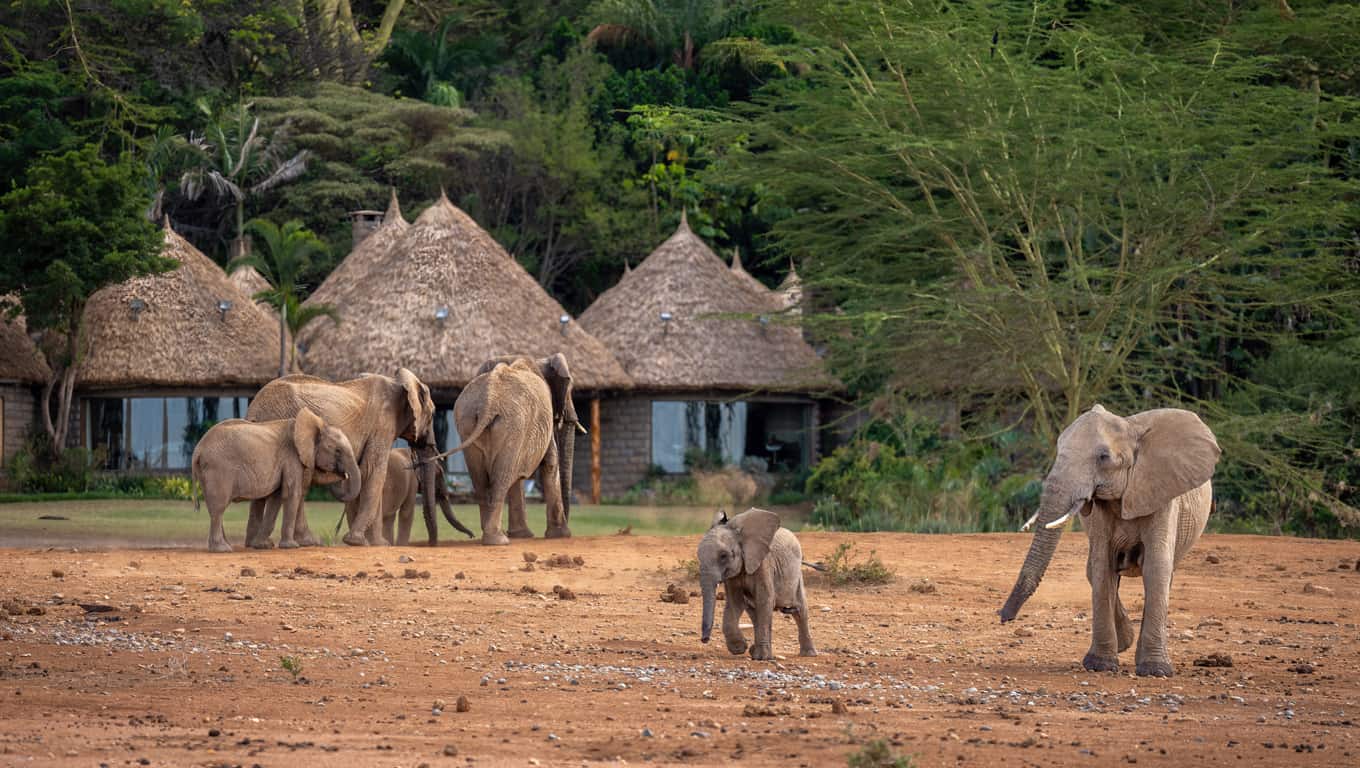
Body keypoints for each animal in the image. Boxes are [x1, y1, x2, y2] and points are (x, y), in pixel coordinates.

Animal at [194, 407, 361, 551]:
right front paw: (291, 547)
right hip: (218, 469)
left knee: (215, 508)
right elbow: (292, 494)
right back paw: (222, 549)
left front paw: (263, 546)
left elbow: (276, 498)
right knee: (219, 507)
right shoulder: (292, 457)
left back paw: (224, 545)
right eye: (338, 451)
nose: (342, 474)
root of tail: (198, 449)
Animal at [244, 369, 435, 543]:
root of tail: (254, 410)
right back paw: (309, 542)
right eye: (433, 414)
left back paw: (256, 543)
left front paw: (374, 544)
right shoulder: (382, 425)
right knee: (299, 484)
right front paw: (361, 542)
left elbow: (369, 475)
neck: (398, 381)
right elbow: (373, 472)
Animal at [446, 353, 584, 543]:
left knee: (480, 479)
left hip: (468, 422)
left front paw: (522, 536)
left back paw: (490, 535)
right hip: (512, 425)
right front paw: (560, 535)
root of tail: (488, 402)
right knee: (502, 476)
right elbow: (550, 461)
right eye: (570, 389)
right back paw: (498, 540)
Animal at [701, 508, 816, 657]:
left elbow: (764, 599)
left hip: (796, 576)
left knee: (800, 611)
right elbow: (735, 602)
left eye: (723, 556)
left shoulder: (764, 564)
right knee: (754, 612)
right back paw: (757, 652)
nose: (704, 640)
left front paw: (759, 656)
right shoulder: (732, 575)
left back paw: (808, 654)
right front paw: (739, 648)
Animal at [1000, 405, 1224, 674]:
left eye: (1103, 457)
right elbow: (1102, 567)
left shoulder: (1163, 496)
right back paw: (1124, 643)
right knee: (1093, 570)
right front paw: (1100, 666)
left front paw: (1155, 670)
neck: (1131, 428)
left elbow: (1156, 568)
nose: (1004, 617)